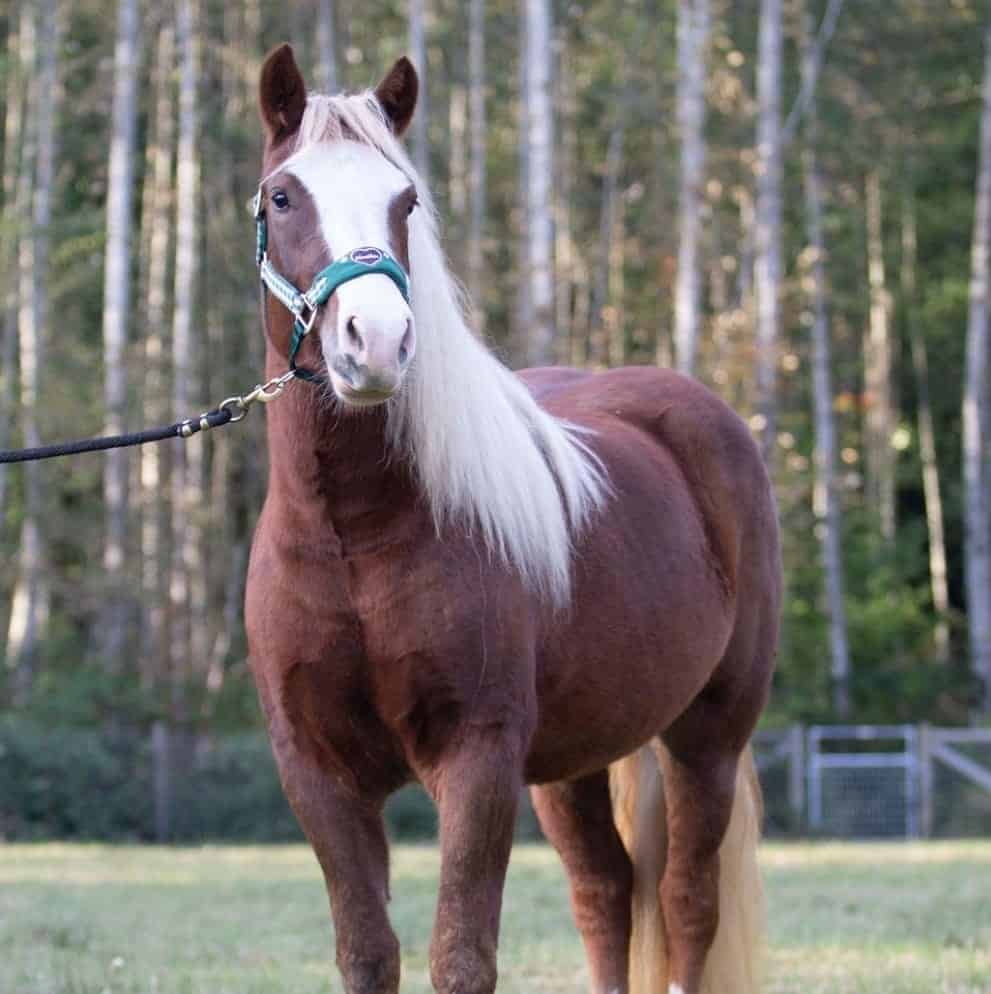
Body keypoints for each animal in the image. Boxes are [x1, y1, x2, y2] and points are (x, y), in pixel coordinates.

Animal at [245, 44, 780, 994]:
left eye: (406, 200)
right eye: (283, 196)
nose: (374, 343)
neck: (355, 536)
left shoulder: (479, 756)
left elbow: (461, 955)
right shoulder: (317, 770)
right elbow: (367, 953)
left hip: (706, 735)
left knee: (685, 901)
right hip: (574, 760)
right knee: (605, 894)